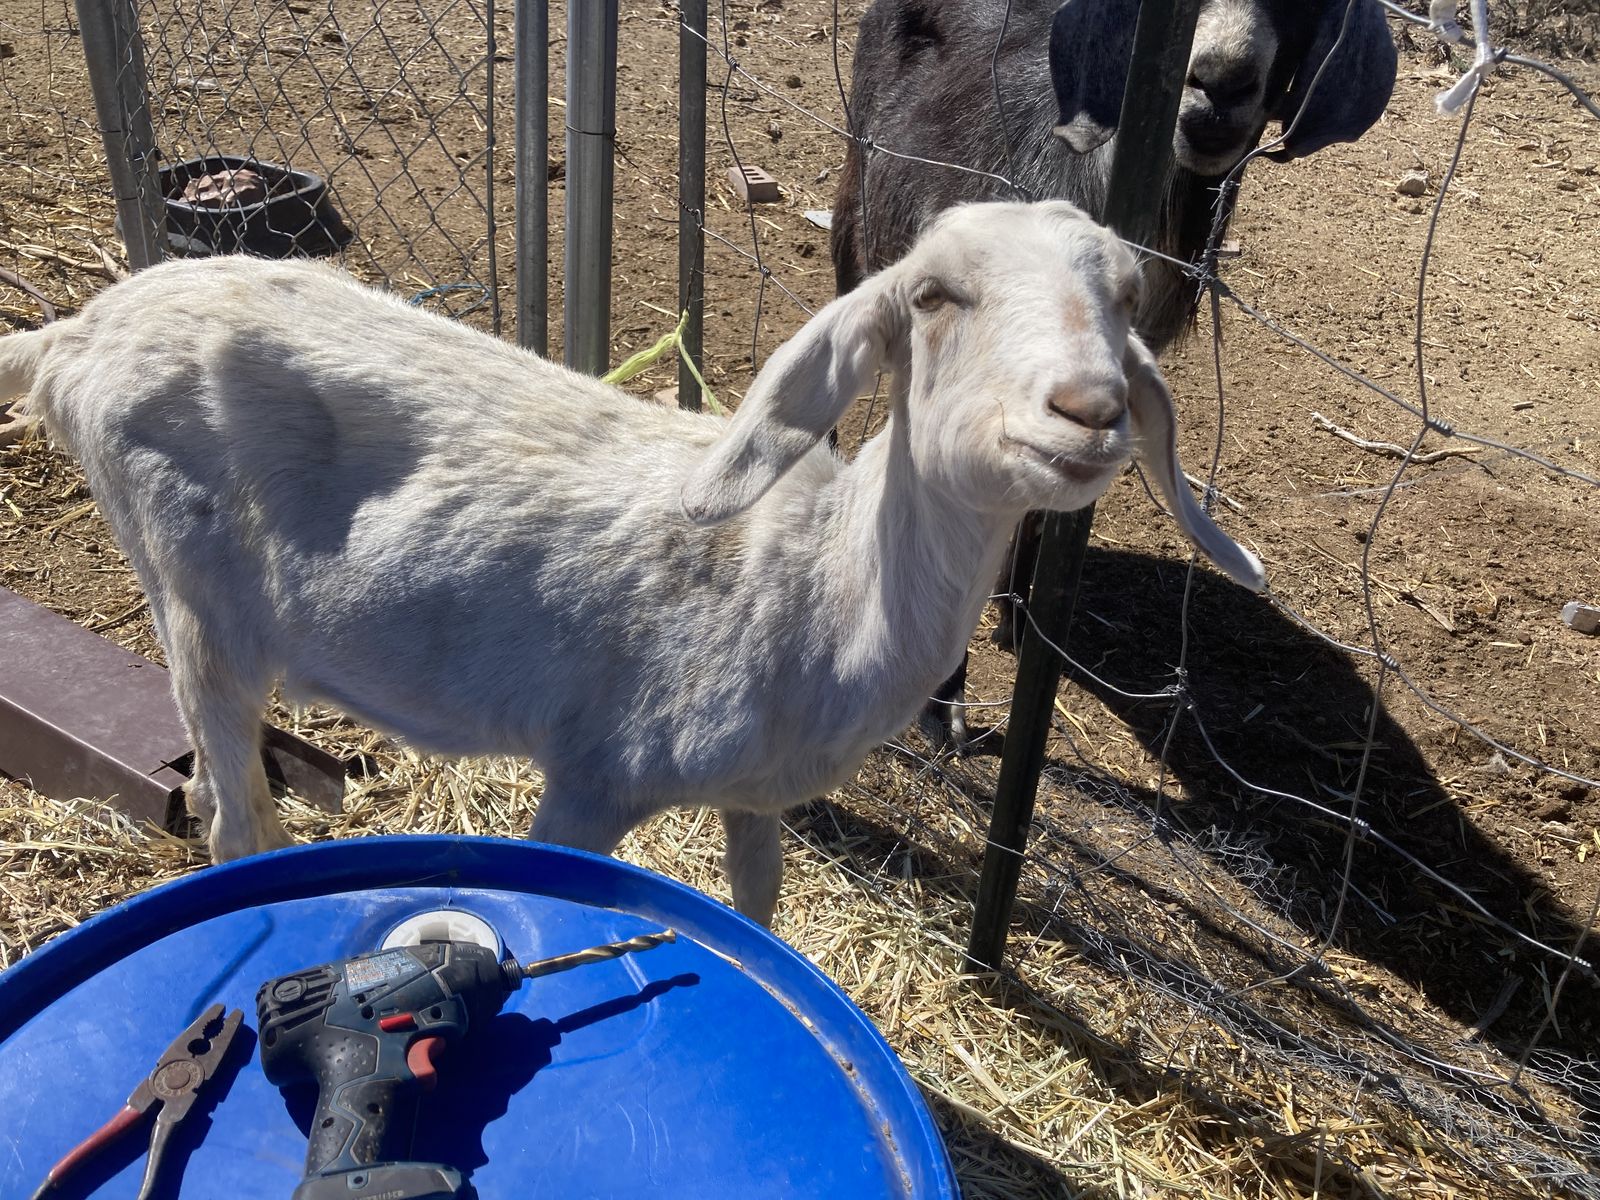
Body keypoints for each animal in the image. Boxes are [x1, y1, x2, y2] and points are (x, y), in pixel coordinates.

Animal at [0, 201, 1263, 925]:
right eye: (933, 294)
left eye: (1127, 297)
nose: (1088, 410)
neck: (811, 583)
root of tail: (78, 332)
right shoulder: (593, 776)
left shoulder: (759, 799)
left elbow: (760, 909)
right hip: (198, 591)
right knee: (234, 816)